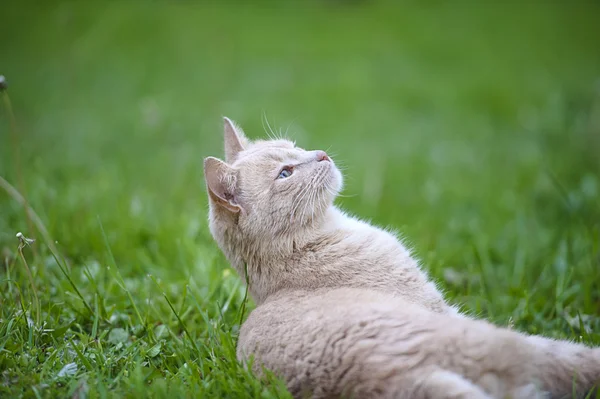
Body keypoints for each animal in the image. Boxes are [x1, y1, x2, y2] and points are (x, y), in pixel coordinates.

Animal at [204, 119, 596, 399]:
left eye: (294, 147)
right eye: (285, 173)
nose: (321, 154)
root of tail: (374, 372)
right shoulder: (442, 308)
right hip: (514, 346)